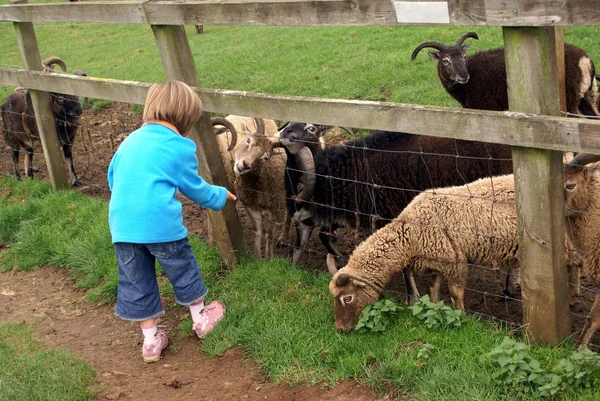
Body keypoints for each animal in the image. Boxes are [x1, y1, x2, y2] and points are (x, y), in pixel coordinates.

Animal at [0, 56, 82, 186]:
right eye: (59, 98)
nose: (78, 110)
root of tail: (4, 103)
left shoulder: (69, 140)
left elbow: (69, 158)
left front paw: (75, 180)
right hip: (12, 138)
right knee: (14, 157)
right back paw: (18, 179)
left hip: (27, 142)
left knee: (28, 157)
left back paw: (31, 178)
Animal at [231, 118, 290, 256]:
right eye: (248, 140)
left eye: (265, 157)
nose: (244, 165)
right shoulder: (249, 206)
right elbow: (257, 230)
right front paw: (257, 256)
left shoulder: (274, 208)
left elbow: (269, 234)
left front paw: (269, 258)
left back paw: (283, 239)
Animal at [326, 173, 584, 332]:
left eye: (347, 298)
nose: (340, 330)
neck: (408, 233)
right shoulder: (435, 263)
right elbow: (434, 290)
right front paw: (432, 309)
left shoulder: (454, 262)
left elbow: (455, 293)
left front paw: (461, 317)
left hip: (559, 239)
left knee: (573, 262)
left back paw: (572, 297)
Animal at [412, 32, 600, 117]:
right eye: (445, 61)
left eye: (464, 56)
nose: (463, 76)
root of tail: (585, 60)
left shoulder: (488, 108)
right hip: (586, 96)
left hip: (569, 99)